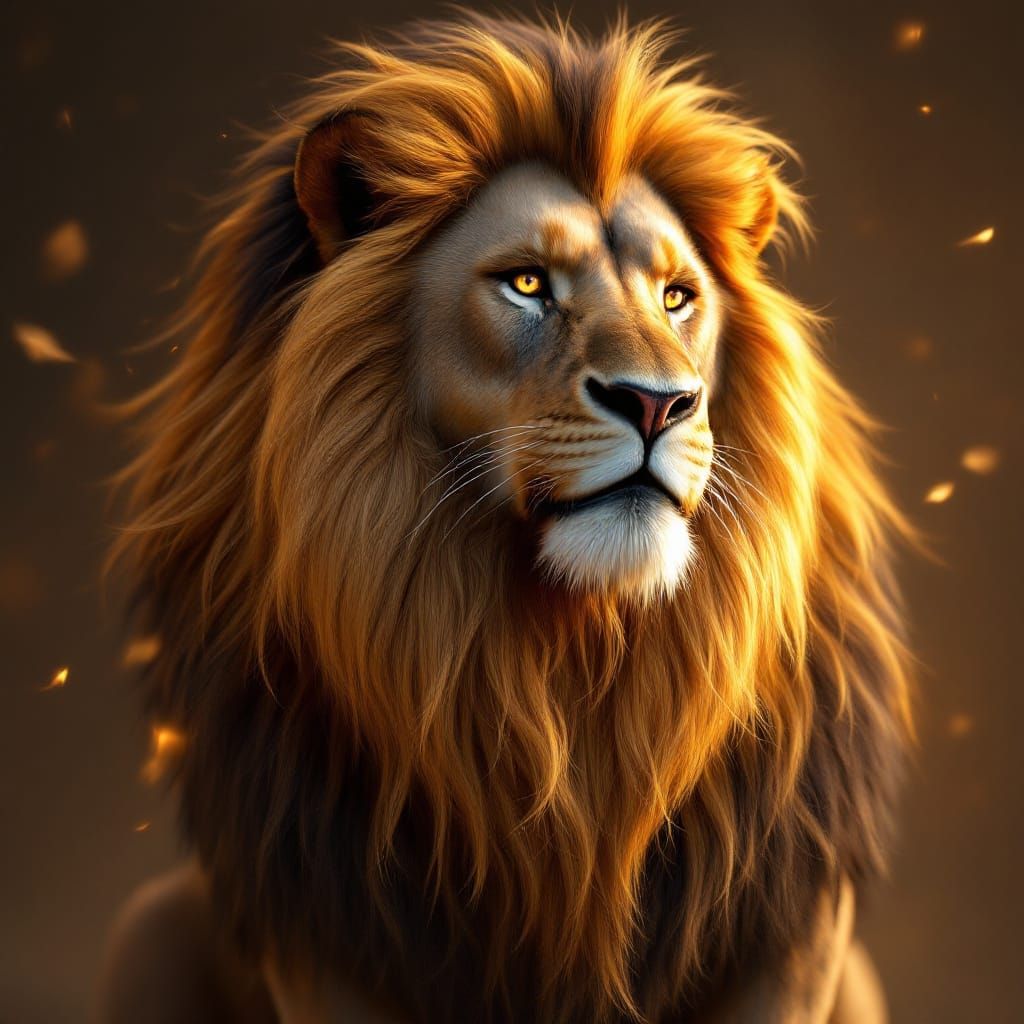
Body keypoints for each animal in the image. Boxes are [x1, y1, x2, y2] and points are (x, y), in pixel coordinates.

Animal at [97, 15, 912, 1024]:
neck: (559, 656)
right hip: (147, 927)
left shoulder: (787, 940)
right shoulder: (328, 923)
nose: (659, 403)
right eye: (527, 284)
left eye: (677, 296)